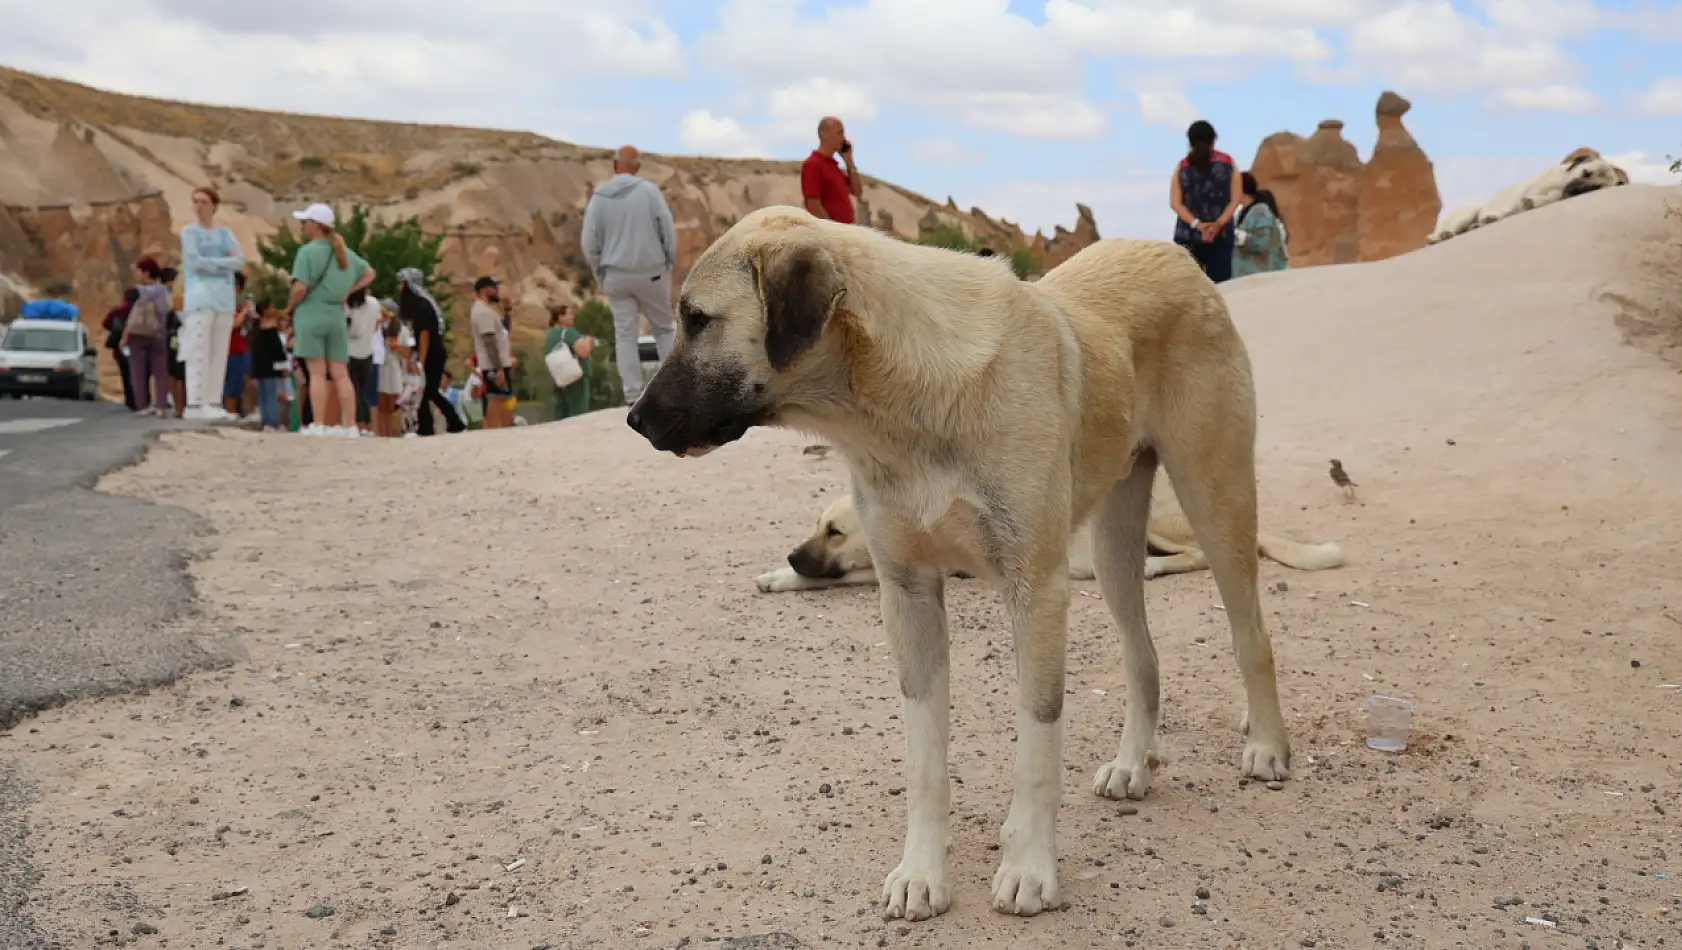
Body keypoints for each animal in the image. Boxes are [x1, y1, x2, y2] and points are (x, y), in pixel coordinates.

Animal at [625, 205, 1291, 921]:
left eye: (697, 319)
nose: (634, 419)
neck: (902, 405)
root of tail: (1172, 254)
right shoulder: (908, 595)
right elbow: (924, 759)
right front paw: (922, 874)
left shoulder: (1037, 592)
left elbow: (1037, 745)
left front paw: (1028, 867)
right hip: (1114, 548)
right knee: (1144, 656)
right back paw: (1133, 763)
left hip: (1213, 499)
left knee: (1252, 635)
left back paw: (1267, 746)